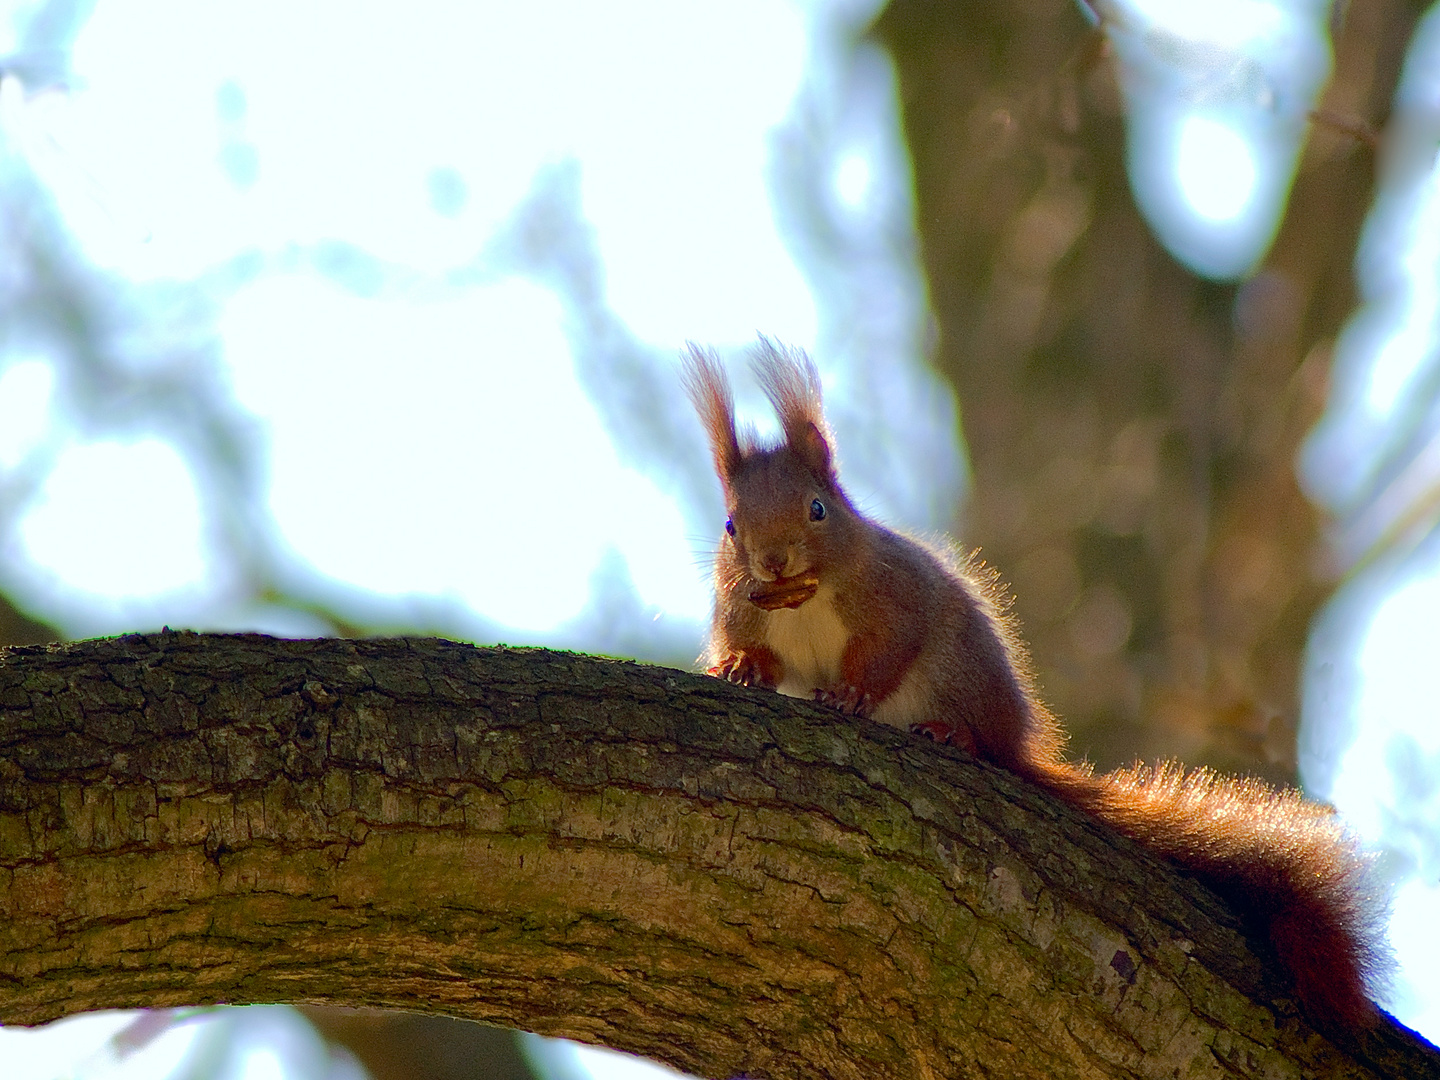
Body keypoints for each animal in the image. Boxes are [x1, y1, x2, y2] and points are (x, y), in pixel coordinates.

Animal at [691, 338, 1388, 1031]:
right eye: (730, 525)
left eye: (818, 509)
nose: (773, 561)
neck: (800, 598)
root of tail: (1016, 740)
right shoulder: (743, 612)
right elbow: (764, 659)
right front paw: (741, 669)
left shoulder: (898, 598)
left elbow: (887, 653)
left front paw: (852, 695)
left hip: (960, 671)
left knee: (980, 737)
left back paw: (955, 736)